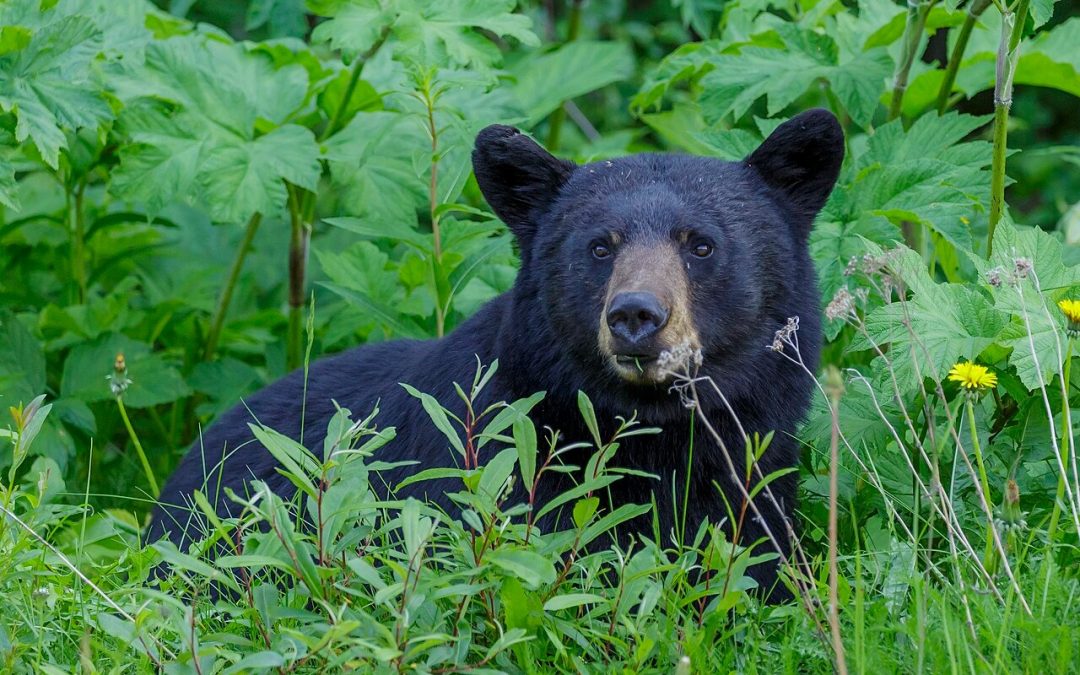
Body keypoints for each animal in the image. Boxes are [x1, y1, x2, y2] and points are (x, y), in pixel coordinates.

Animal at [150, 108, 842, 596]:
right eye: (599, 246)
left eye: (700, 244)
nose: (636, 316)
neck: (653, 435)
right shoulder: (497, 472)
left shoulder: (755, 478)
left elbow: (760, 566)